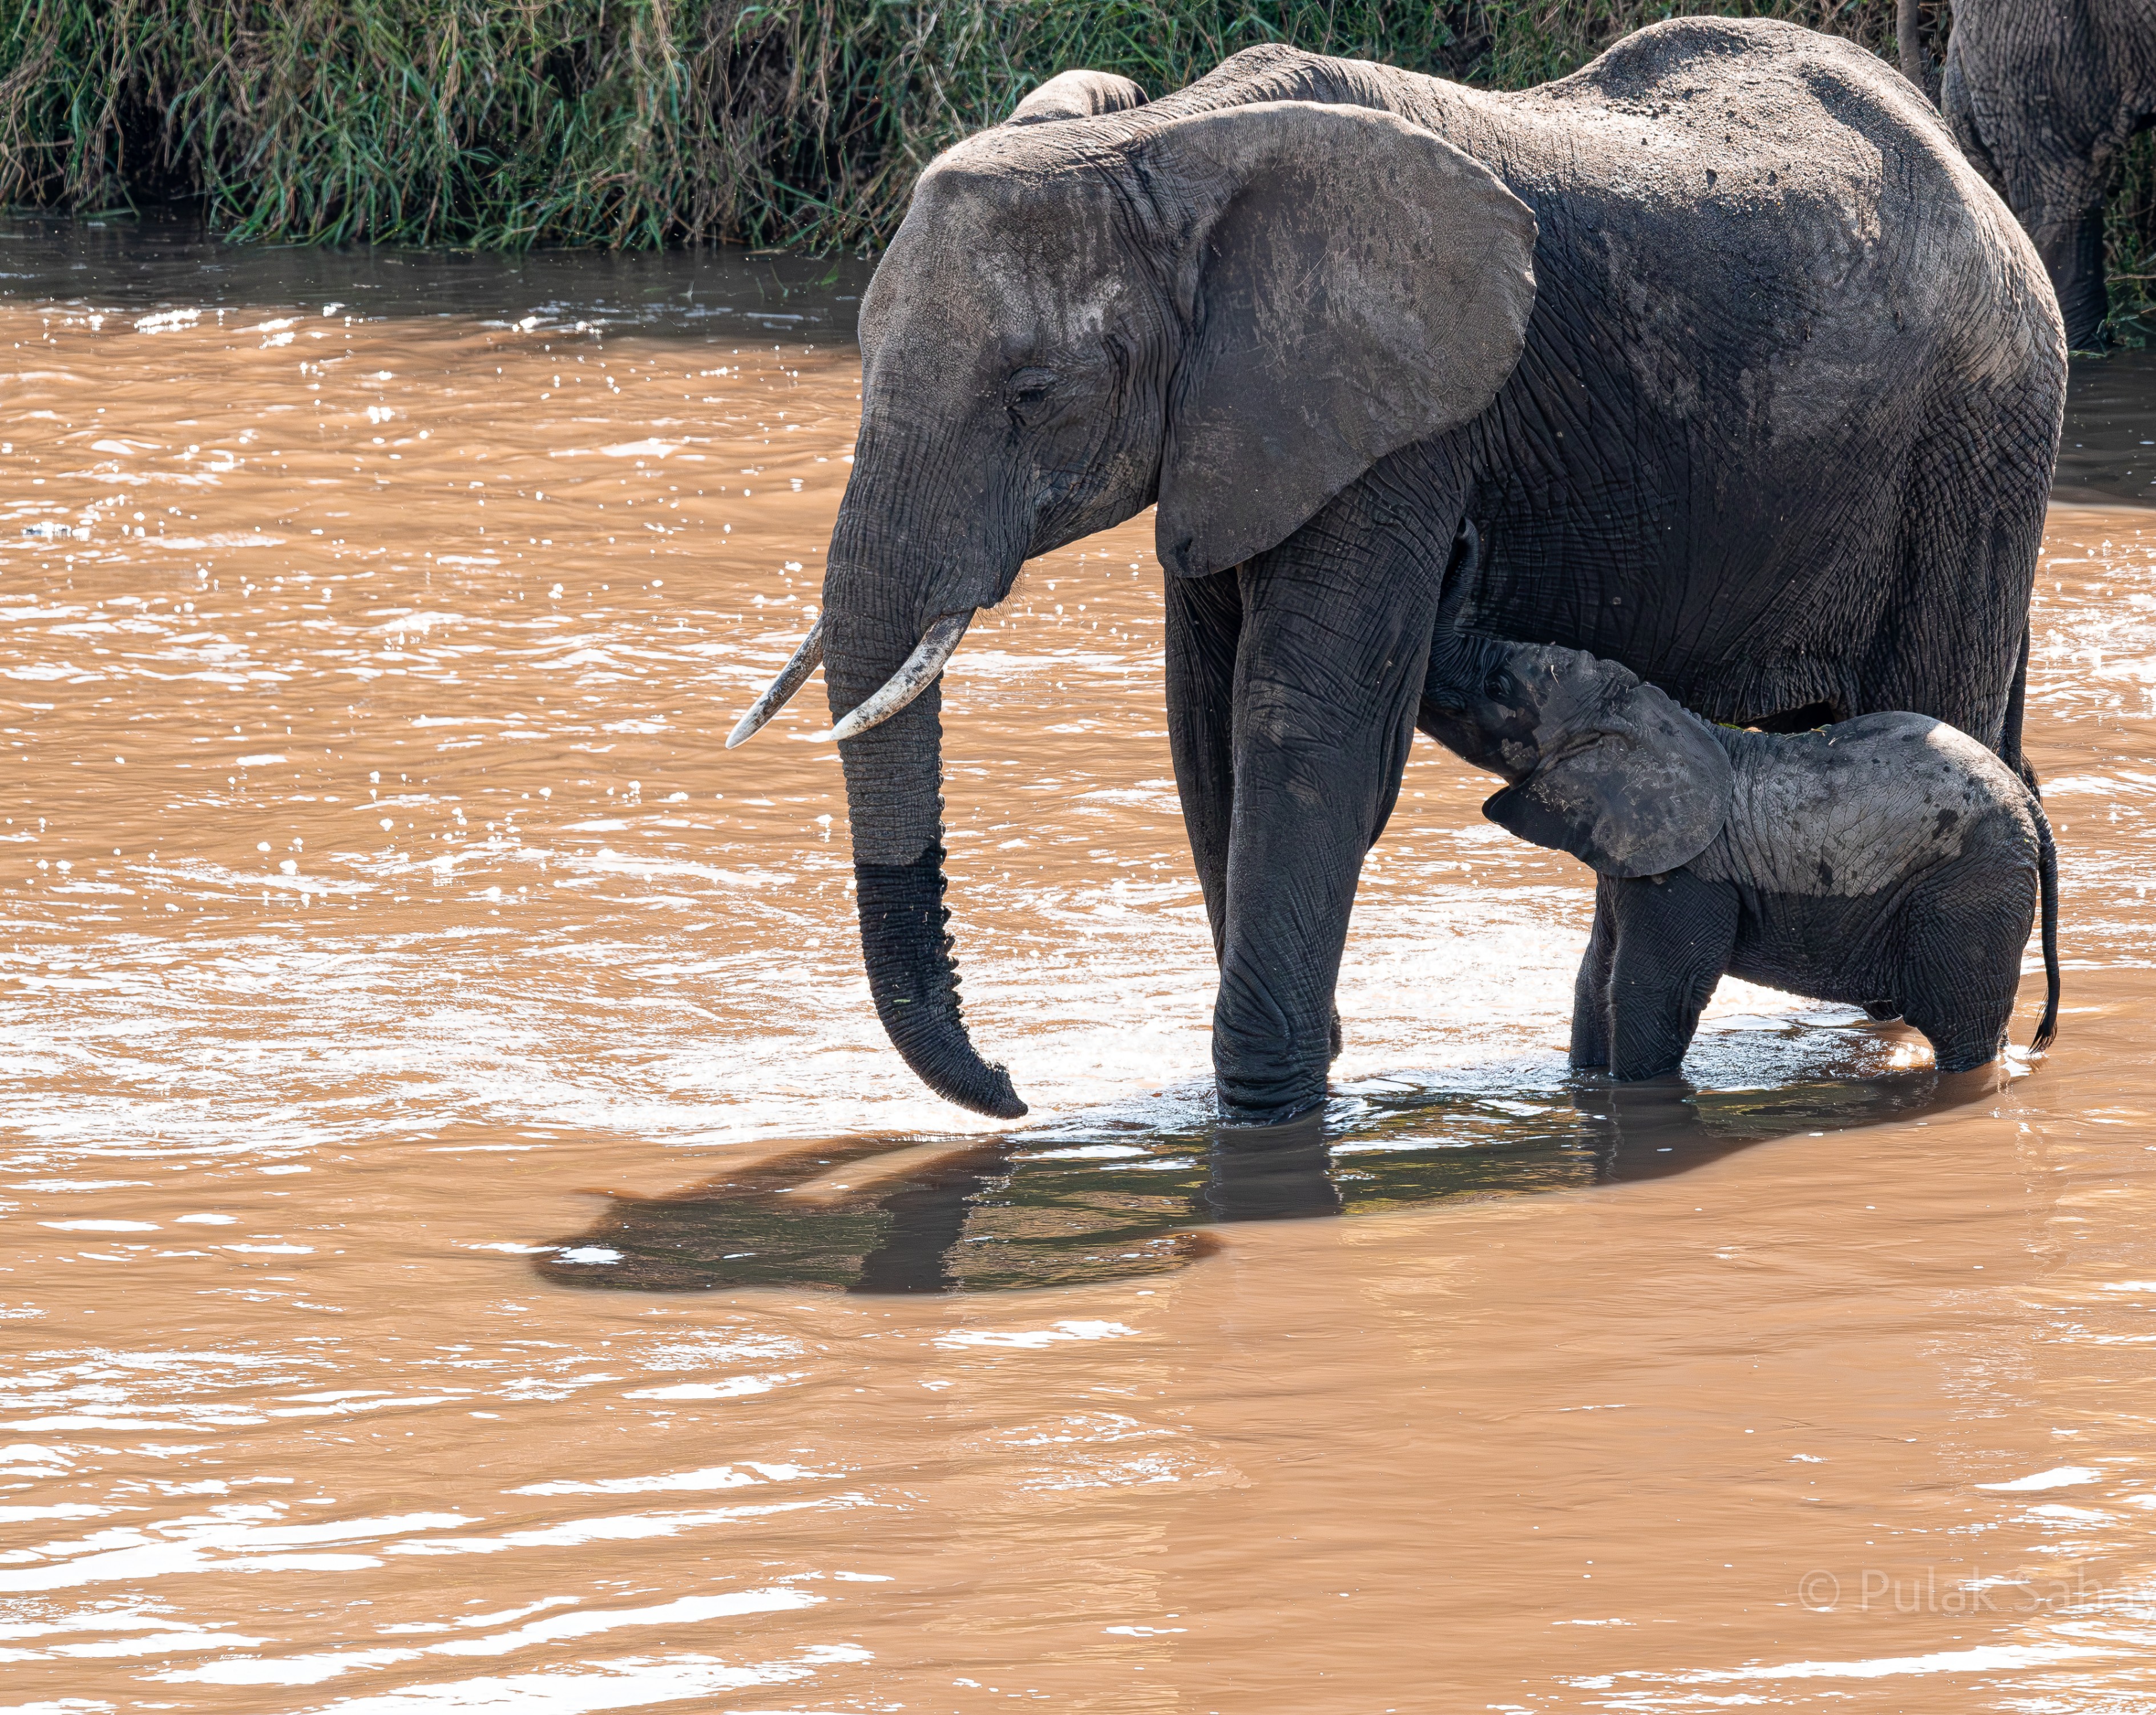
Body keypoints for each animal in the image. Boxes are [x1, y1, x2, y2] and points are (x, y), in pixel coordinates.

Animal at [1418, 623, 2061, 1079]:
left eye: (1500, 687)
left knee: (1963, 1026)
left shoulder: (1688, 877)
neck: (1646, 711)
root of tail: (2032, 807)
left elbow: (1653, 993)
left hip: (1969, 888)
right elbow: (1593, 980)